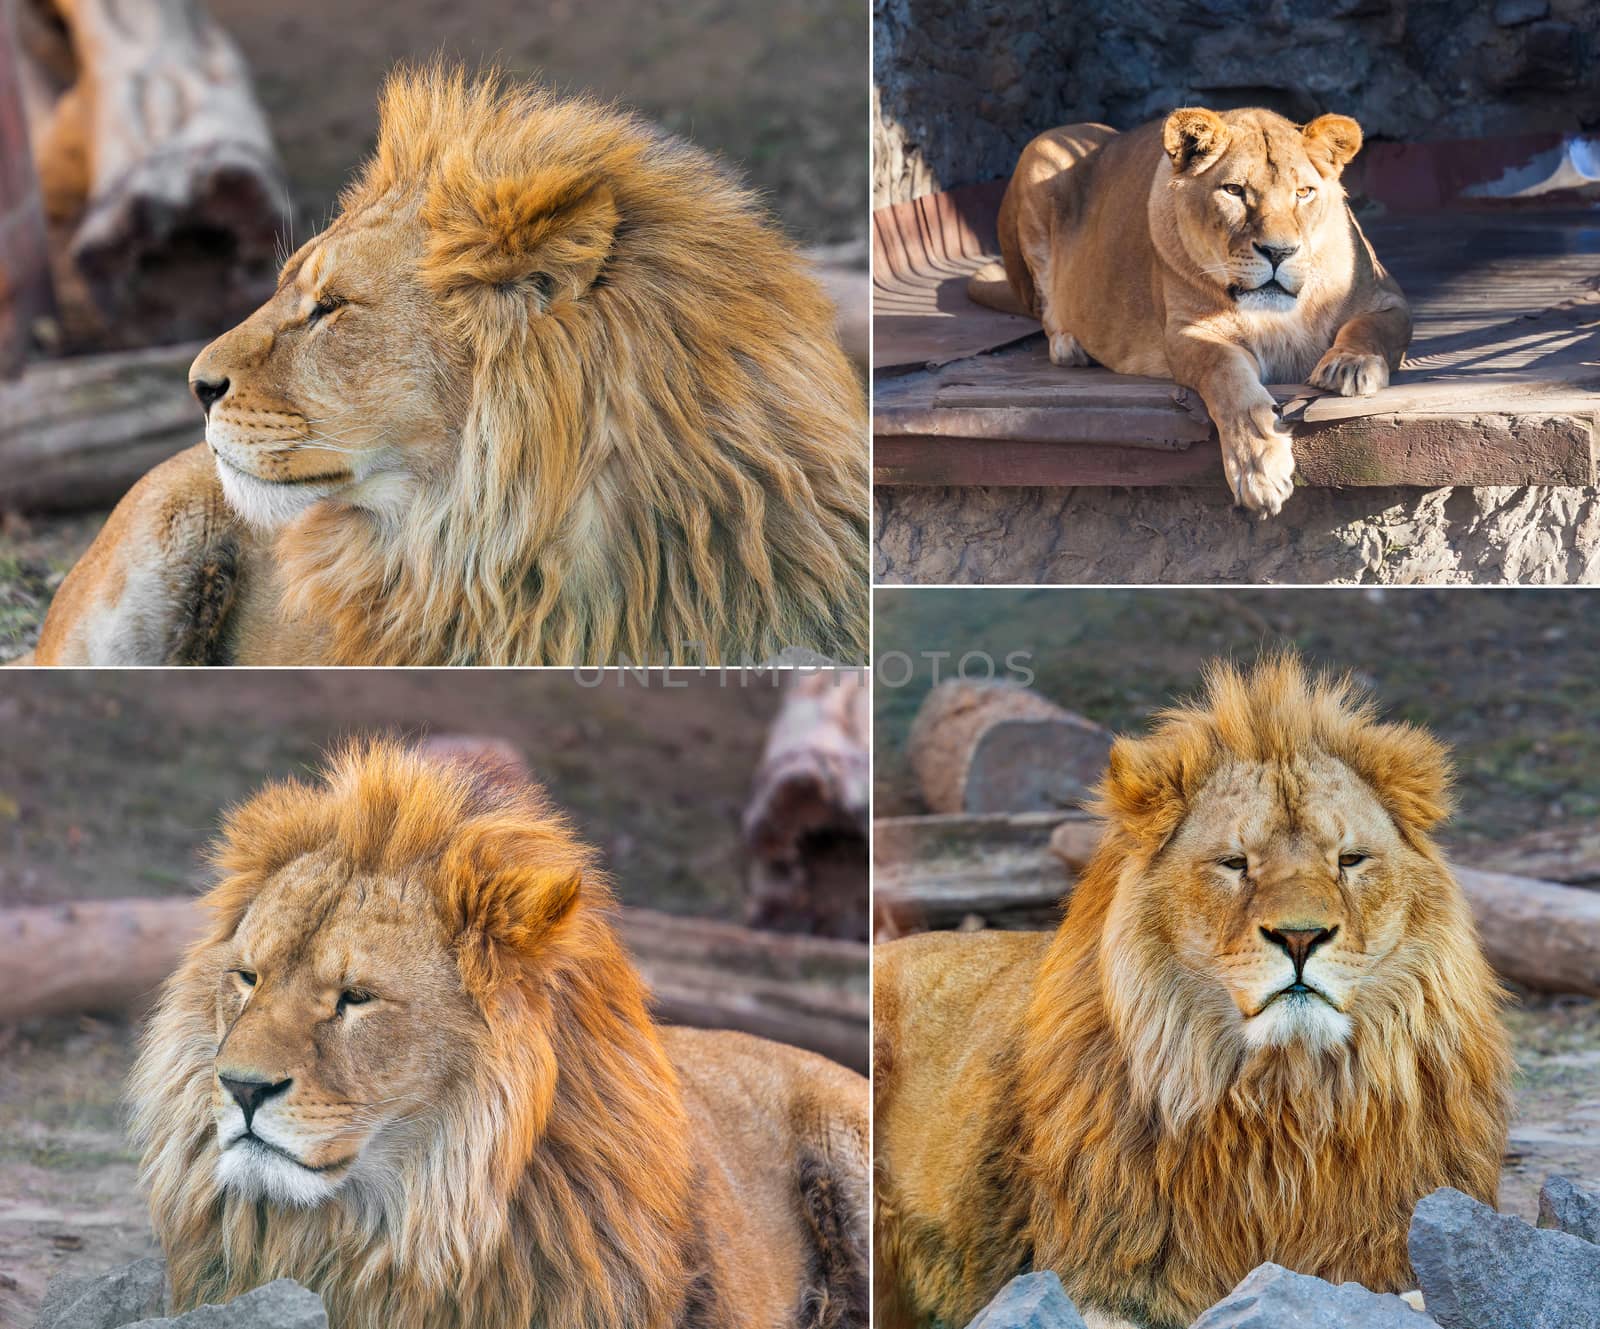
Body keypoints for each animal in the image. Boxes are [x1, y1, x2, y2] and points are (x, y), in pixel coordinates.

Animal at [966, 105, 1408, 514]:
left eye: (1304, 193)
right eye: (1234, 190)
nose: (1279, 252)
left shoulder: (1390, 300)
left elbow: (1370, 328)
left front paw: (1350, 365)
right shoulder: (1186, 333)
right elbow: (1226, 374)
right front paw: (1258, 468)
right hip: (1042, 153)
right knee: (1046, 309)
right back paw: (1070, 347)